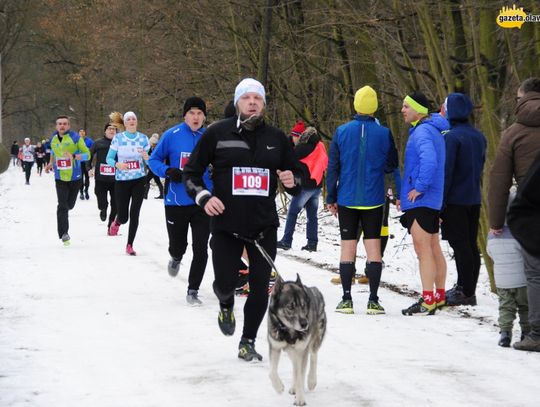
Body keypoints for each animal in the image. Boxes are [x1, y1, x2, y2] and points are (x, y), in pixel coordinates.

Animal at [268, 276, 326, 406]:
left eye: (303, 305)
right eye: (290, 306)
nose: (305, 324)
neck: (289, 331)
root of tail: (315, 290)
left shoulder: (302, 350)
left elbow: (300, 375)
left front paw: (300, 399)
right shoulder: (275, 346)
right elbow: (272, 372)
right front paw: (278, 387)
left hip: (314, 340)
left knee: (313, 357)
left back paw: (311, 381)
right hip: (291, 351)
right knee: (295, 366)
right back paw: (294, 387)